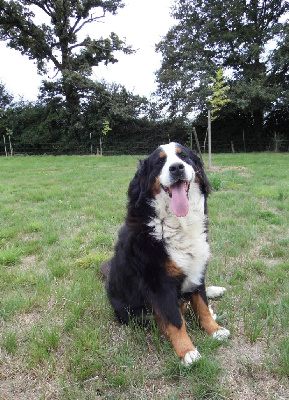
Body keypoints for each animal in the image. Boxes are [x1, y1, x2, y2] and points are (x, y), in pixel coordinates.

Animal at [100, 142, 228, 368]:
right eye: (160, 162)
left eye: (183, 156)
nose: (176, 168)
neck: (179, 223)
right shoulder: (159, 283)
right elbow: (175, 320)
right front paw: (187, 352)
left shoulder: (197, 267)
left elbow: (202, 305)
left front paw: (214, 330)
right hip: (134, 312)